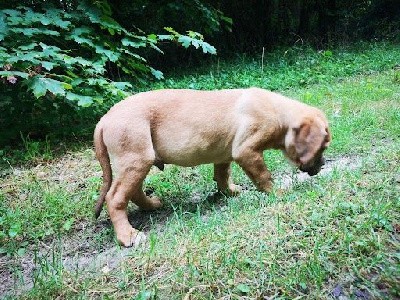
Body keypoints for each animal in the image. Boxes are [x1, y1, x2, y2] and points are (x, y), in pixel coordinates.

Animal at [94, 86, 332, 246]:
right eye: (322, 148)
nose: (322, 165)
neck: (279, 112)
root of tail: (104, 120)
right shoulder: (246, 150)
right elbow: (264, 175)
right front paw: (276, 192)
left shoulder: (225, 154)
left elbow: (223, 174)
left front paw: (230, 191)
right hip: (135, 159)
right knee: (115, 198)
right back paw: (128, 235)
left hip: (138, 161)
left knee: (132, 191)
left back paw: (152, 205)